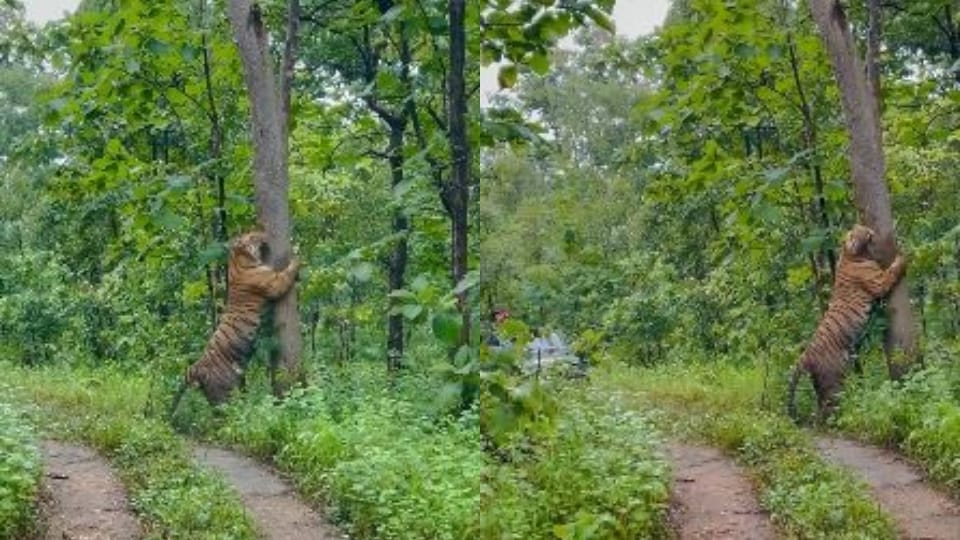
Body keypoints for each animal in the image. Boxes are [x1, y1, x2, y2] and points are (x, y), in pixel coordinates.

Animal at [170, 230, 300, 417]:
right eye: (252, 235)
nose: (263, 233)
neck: (238, 259)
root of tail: (195, 367)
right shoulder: (273, 282)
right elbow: (286, 274)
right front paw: (296, 257)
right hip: (223, 394)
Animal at [786, 224, 906, 422]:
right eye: (859, 230)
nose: (866, 228)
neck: (851, 254)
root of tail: (806, 355)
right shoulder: (879, 282)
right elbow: (892, 270)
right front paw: (903, 256)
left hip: (822, 383)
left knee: (821, 407)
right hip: (832, 381)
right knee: (828, 408)